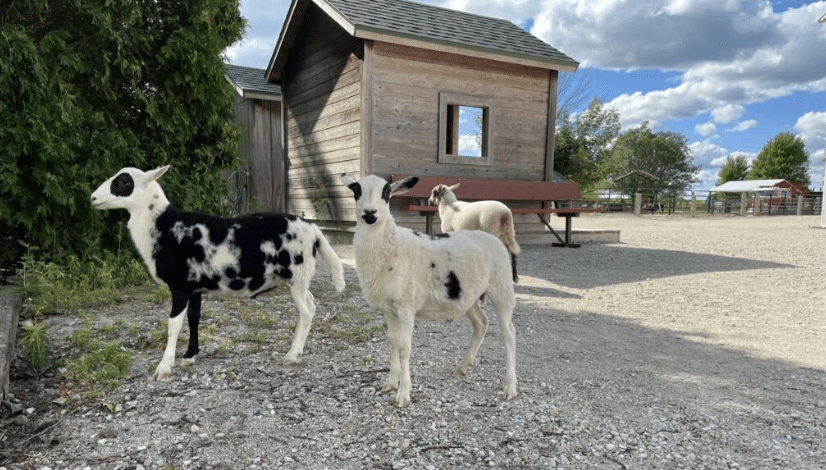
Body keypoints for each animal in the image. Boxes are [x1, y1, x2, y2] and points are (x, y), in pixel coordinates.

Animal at [91, 166, 345, 379]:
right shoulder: (194, 287)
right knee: (310, 303)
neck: (161, 225)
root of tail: (314, 229)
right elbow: (193, 318)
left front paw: (164, 366)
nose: (92, 198)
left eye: (124, 182)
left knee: (307, 311)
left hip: (295, 273)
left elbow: (173, 325)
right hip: (300, 278)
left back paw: (292, 355)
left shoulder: (180, 286)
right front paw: (190, 355)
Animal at [341, 174, 517, 407]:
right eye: (356, 190)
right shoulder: (389, 309)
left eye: (387, 193)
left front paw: (403, 394)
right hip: (468, 296)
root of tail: (495, 239)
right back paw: (462, 366)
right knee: (481, 324)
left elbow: (404, 346)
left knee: (509, 334)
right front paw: (390, 383)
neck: (391, 246)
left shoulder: (406, 306)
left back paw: (510, 387)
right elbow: (392, 342)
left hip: (501, 288)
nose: (370, 214)